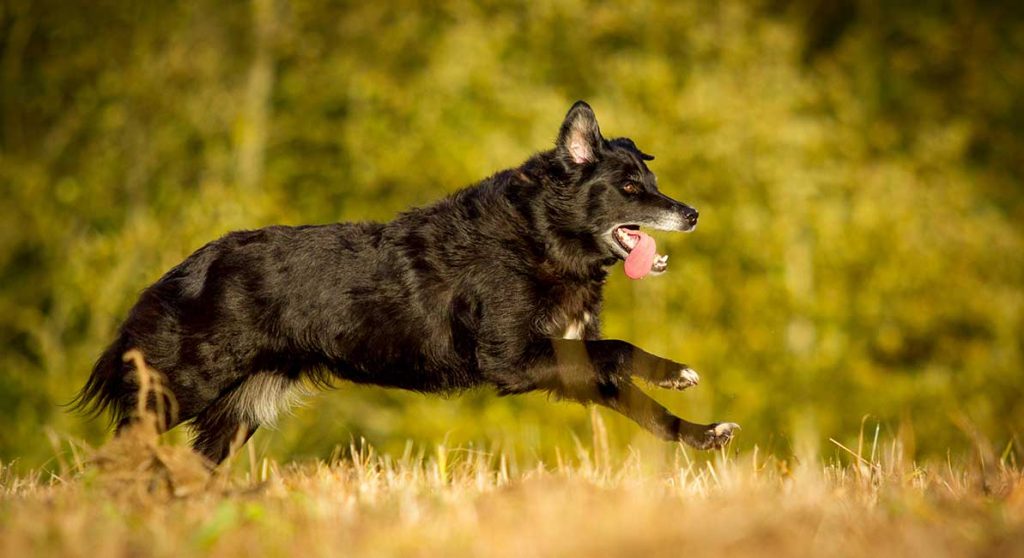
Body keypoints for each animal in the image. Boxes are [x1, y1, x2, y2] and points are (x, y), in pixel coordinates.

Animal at [75, 100, 741, 460]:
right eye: (630, 188)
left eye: (651, 182)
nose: (692, 214)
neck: (539, 234)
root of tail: (184, 268)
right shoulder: (513, 356)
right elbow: (625, 350)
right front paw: (679, 373)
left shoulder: (569, 359)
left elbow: (646, 407)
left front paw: (705, 433)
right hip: (177, 388)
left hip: (234, 415)